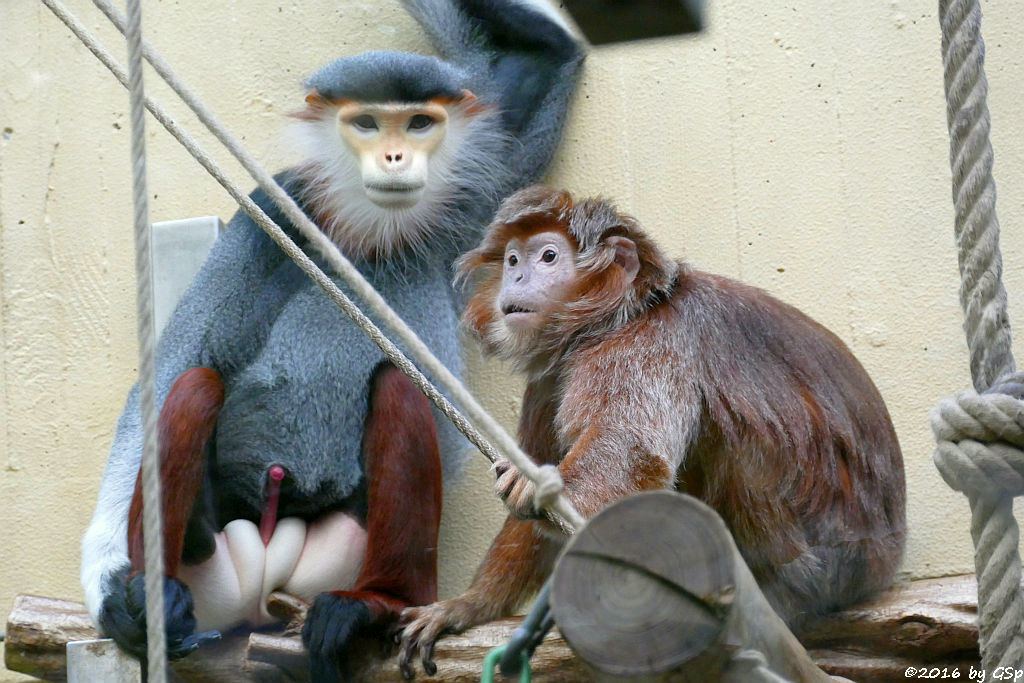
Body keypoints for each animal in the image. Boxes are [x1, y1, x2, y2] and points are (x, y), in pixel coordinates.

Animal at [397, 185, 905, 671]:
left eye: (548, 257)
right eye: (513, 260)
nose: (517, 277)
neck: (626, 312)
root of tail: (888, 556)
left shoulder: (647, 344)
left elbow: (632, 451)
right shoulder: (550, 378)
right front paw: (467, 605)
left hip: (828, 559)